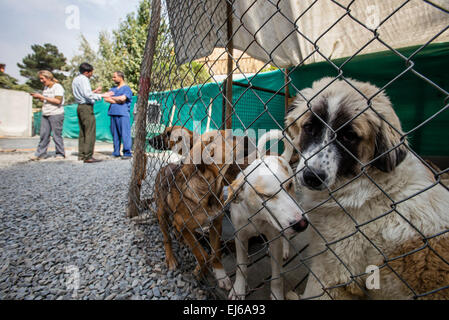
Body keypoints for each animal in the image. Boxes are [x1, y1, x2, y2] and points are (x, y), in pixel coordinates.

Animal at [228, 129, 308, 298]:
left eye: (288, 185)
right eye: (265, 195)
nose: (302, 224)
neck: (257, 217)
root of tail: (279, 156)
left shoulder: (275, 237)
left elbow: (277, 278)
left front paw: (276, 294)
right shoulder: (240, 237)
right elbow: (241, 266)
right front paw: (239, 288)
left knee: (285, 238)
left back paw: (285, 248)